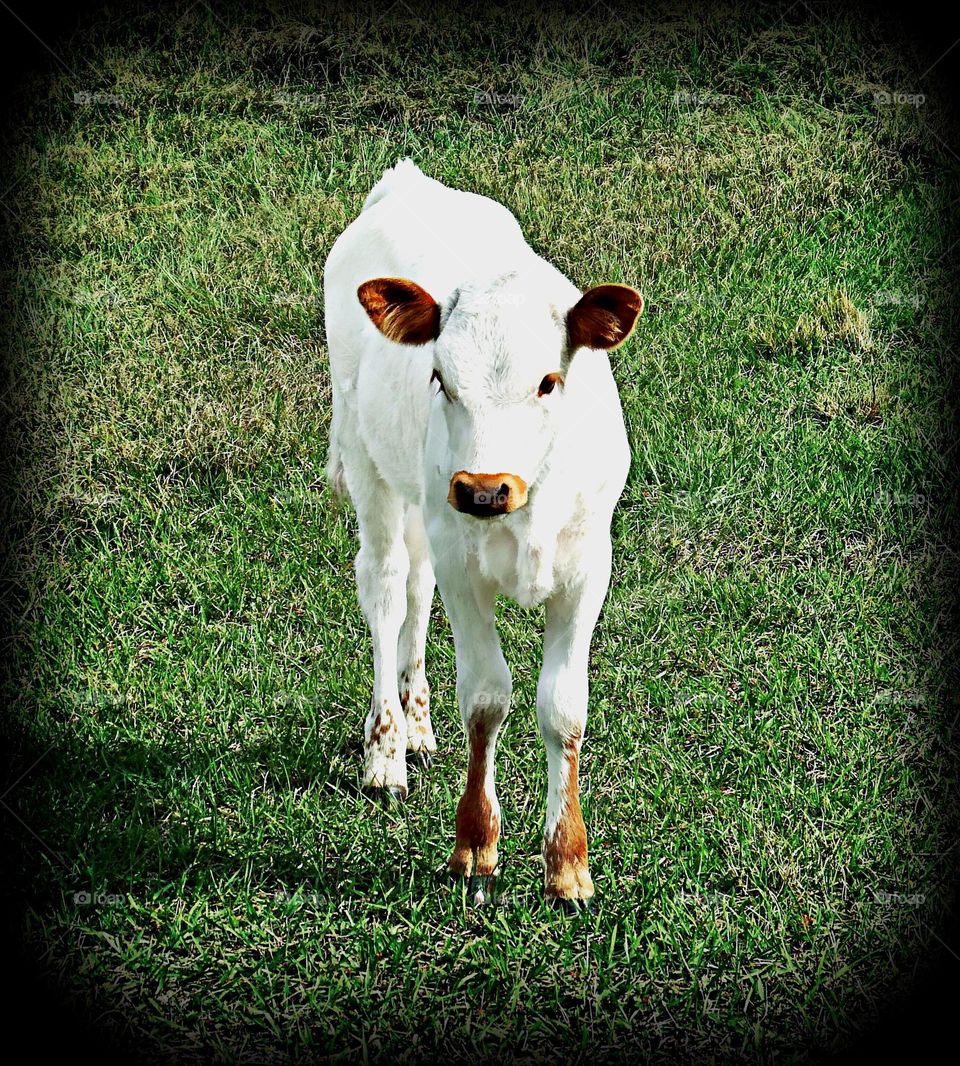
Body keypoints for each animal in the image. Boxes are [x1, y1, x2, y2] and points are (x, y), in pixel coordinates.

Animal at [323, 159, 642, 907]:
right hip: (373, 464)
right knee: (386, 586)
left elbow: (564, 707)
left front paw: (568, 864)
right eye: (440, 378)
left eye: (549, 381)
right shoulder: (463, 563)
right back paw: (386, 747)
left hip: (425, 502)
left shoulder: (588, 566)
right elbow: (487, 698)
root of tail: (408, 181)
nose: (483, 488)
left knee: (414, 587)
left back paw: (416, 722)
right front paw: (474, 843)